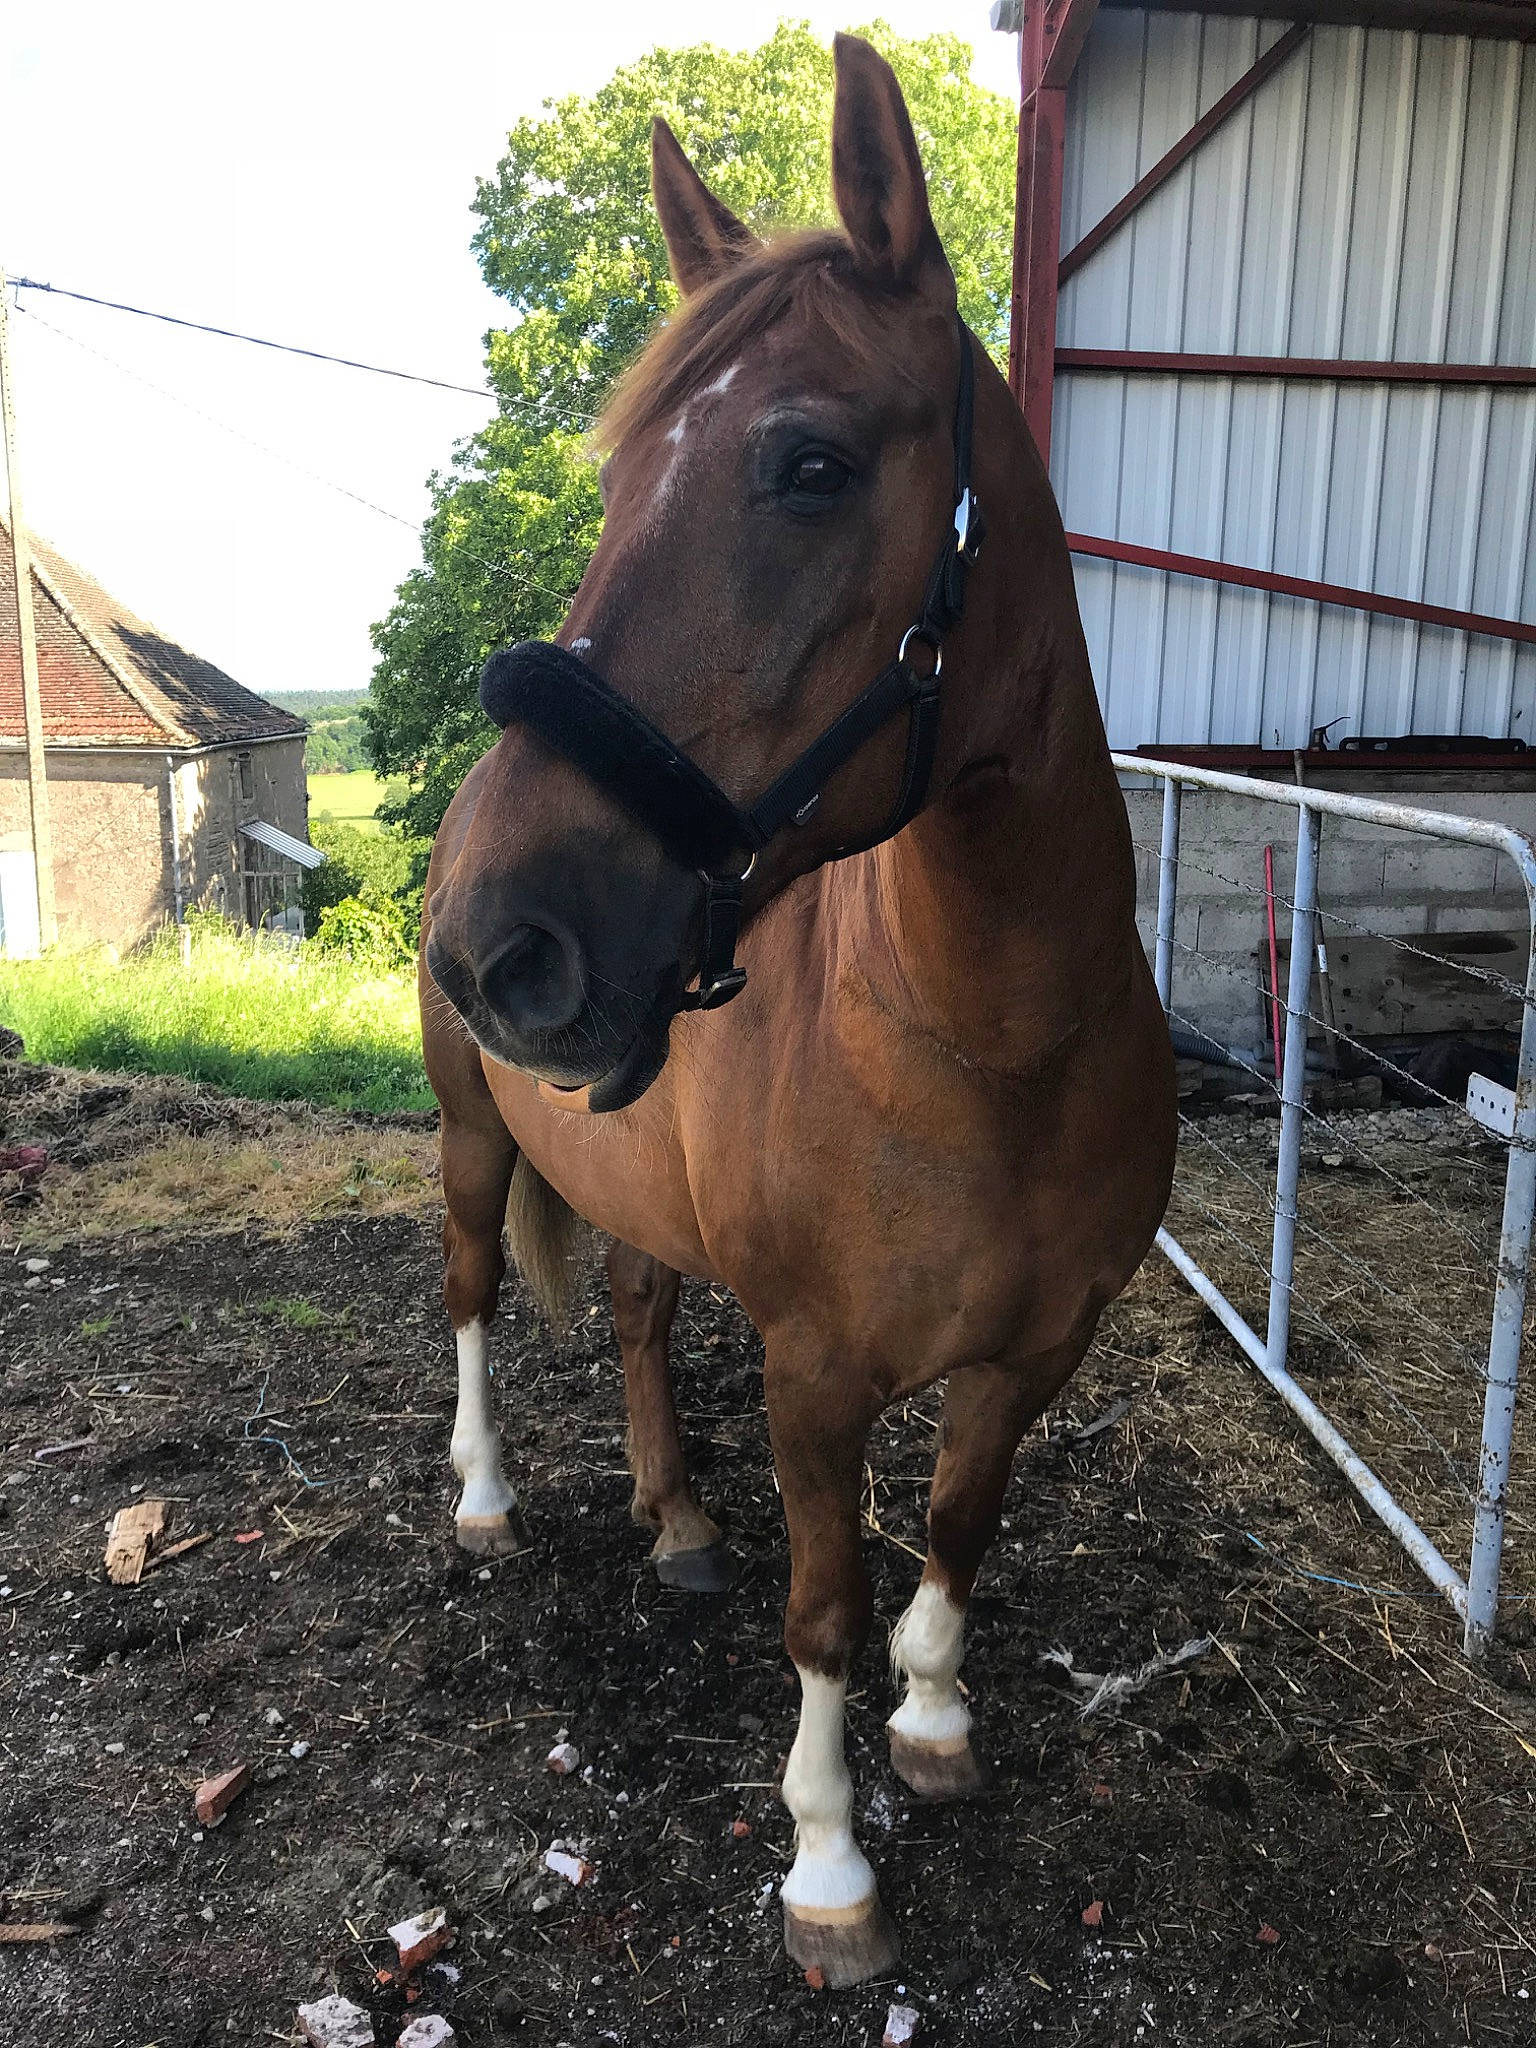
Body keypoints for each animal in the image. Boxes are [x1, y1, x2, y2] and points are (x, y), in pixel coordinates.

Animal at [419, 33, 1176, 1988]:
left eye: (810, 463)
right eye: (618, 482)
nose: (495, 946)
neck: (985, 1049)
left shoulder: (1036, 1351)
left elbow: (958, 1532)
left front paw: (937, 1721)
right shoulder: (817, 1375)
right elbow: (824, 1606)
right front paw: (830, 1868)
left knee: (626, 1303)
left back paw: (674, 1516)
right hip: (465, 1138)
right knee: (471, 1295)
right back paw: (486, 1499)